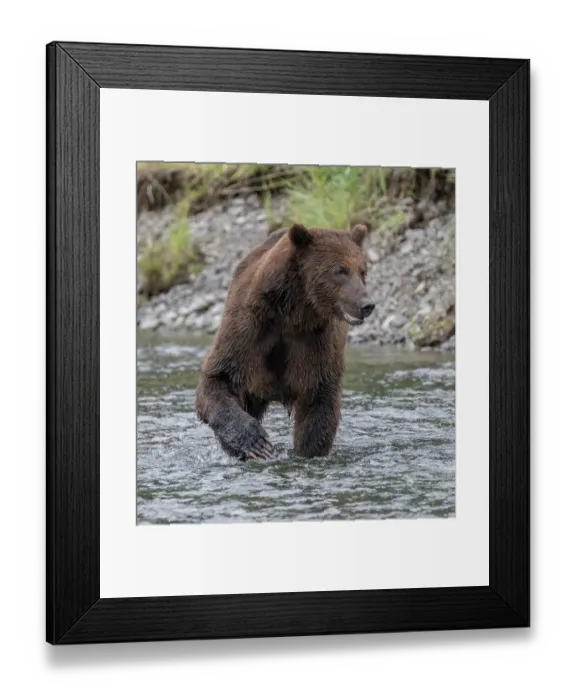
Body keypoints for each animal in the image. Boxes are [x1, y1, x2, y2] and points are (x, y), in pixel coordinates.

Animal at [195, 222, 375, 460]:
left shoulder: (317, 340)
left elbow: (319, 400)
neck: (294, 314)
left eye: (363, 271)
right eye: (339, 270)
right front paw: (255, 443)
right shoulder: (249, 328)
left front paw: (307, 451)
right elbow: (219, 377)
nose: (367, 304)